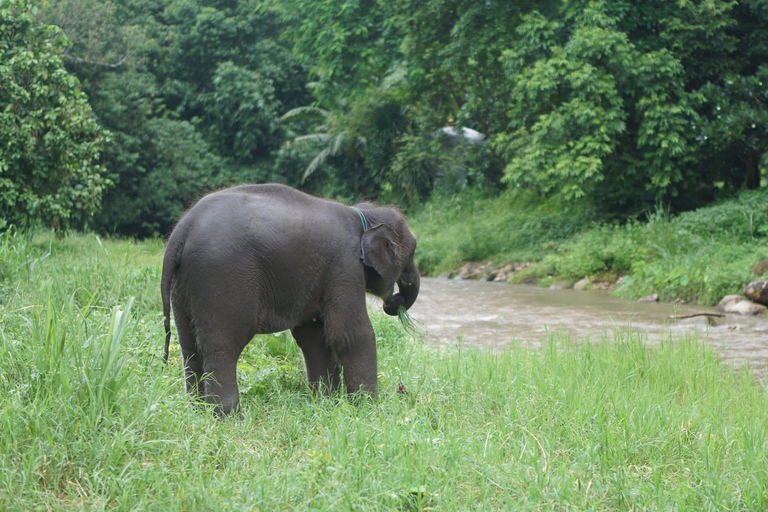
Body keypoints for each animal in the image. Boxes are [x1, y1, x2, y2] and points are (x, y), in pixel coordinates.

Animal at [161, 184, 420, 415]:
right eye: (412, 252)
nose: (394, 301)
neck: (361, 215)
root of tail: (183, 229)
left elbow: (314, 337)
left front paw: (326, 404)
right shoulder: (345, 266)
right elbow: (351, 334)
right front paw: (368, 409)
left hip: (182, 286)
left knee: (190, 346)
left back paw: (197, 410)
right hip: (221, 277)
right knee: (223, 346)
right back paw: (228, 416)